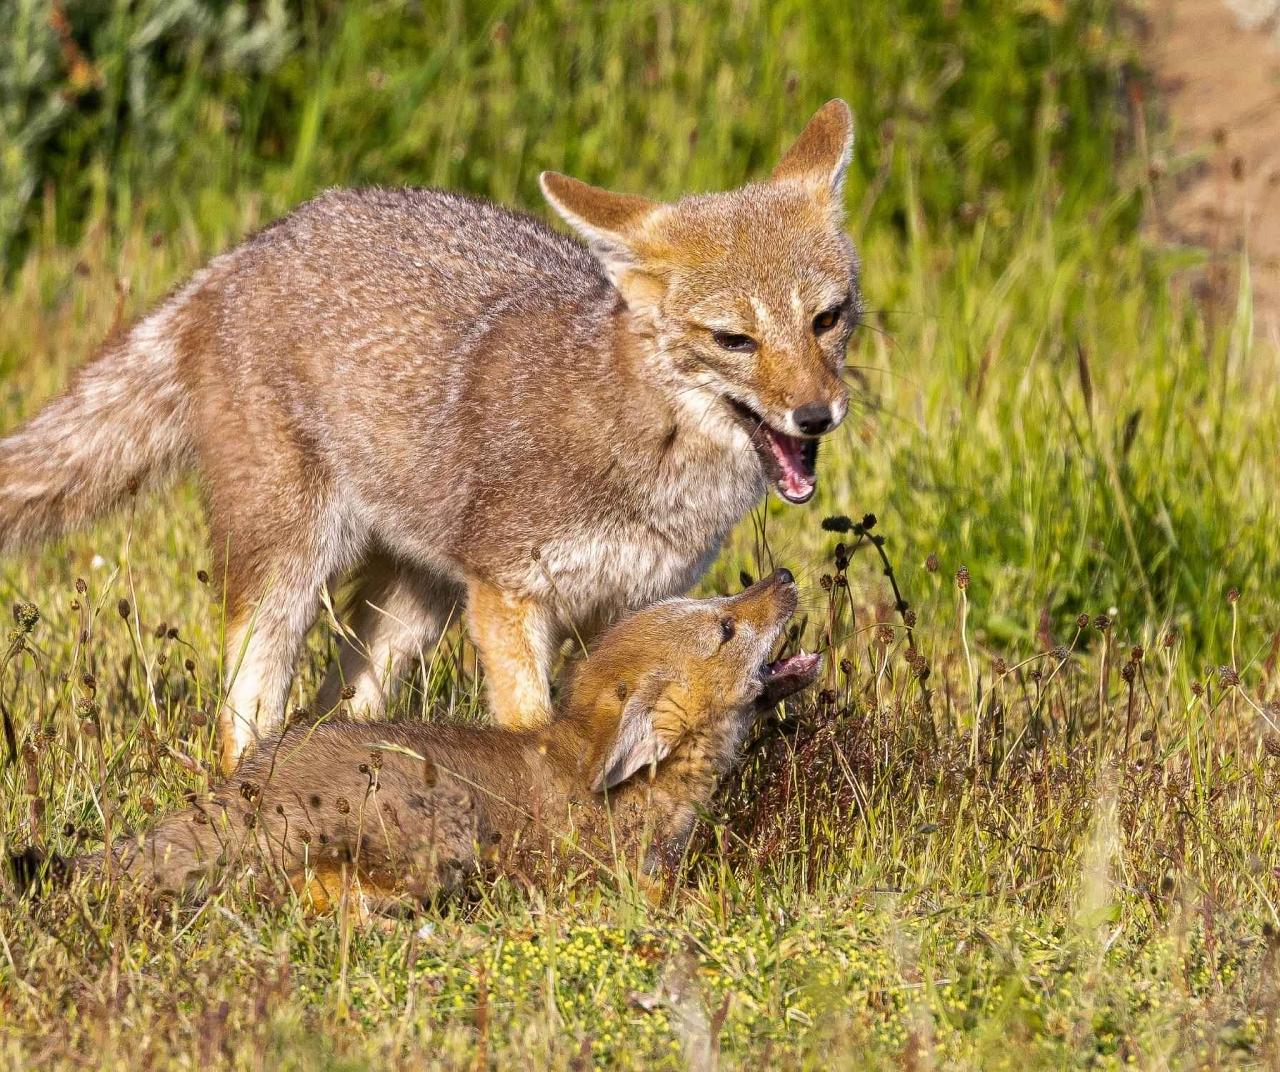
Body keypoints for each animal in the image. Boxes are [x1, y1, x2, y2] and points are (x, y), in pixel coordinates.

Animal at [0, 102, 860, 772]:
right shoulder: (510, 595)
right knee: (249, 706)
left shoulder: (634, 603)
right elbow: (534, 728)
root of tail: (253, 249)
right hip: (292, 569)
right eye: (734, 340)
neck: (647, 460)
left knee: (341, 708)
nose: (817, 416)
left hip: (413, 612)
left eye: (827, 319)